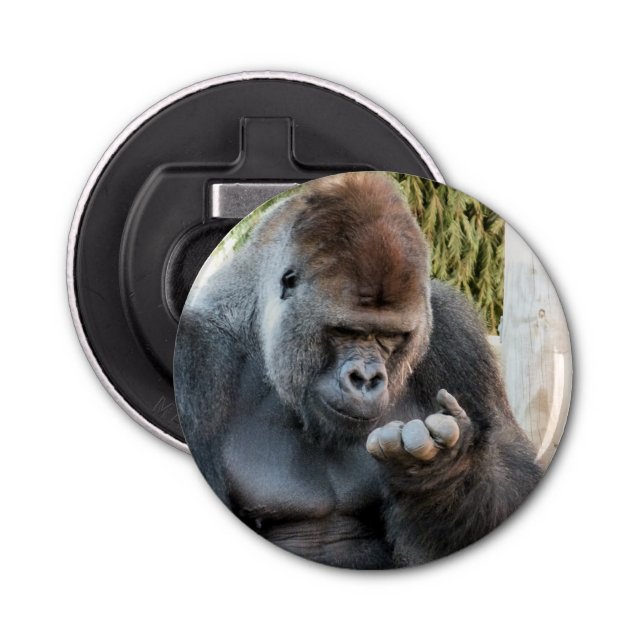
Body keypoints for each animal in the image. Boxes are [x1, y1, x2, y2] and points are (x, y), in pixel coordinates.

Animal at [174, 172, 542, 569]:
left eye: (390, 336)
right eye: (345, 331)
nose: (366, 379)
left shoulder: (454, 333)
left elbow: (515, 474)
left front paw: (442, 472)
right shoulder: (197, 359)